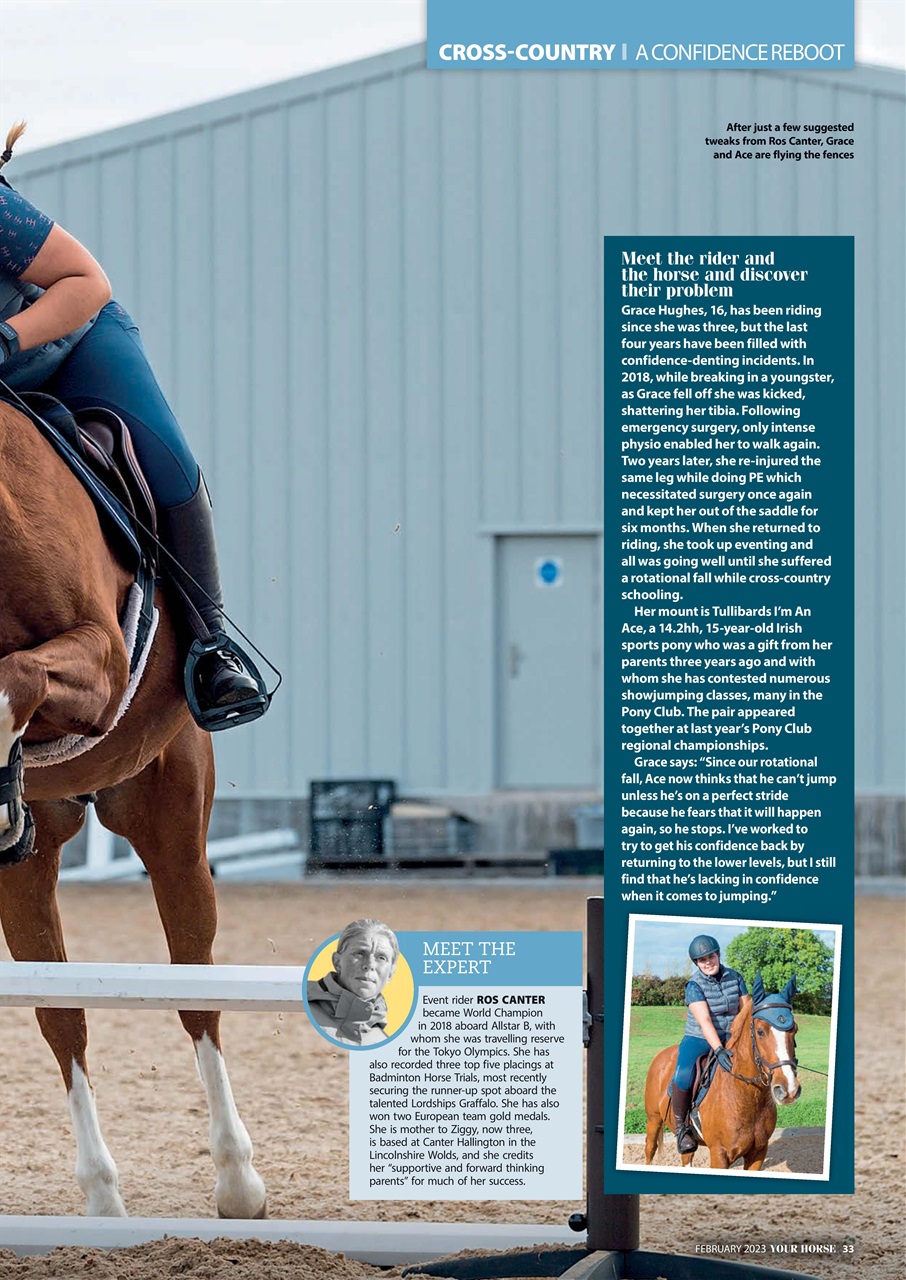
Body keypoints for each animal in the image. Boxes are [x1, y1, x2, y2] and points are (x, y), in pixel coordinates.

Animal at [0, 400, 266, 1218]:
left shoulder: (100, 658)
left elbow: (16, 676)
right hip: (29, 869)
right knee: (61, 1017)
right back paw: (102, 1202)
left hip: (171, 822)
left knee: (196, 995)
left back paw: (237, 1180)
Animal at [643, 976, 801, 1170]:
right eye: (760, 1031)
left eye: (795, 1029)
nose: (789, 1089)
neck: (748, 1098)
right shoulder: (719, 1154)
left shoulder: (758, 1153)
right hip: (653, 1120)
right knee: (650, 1149)